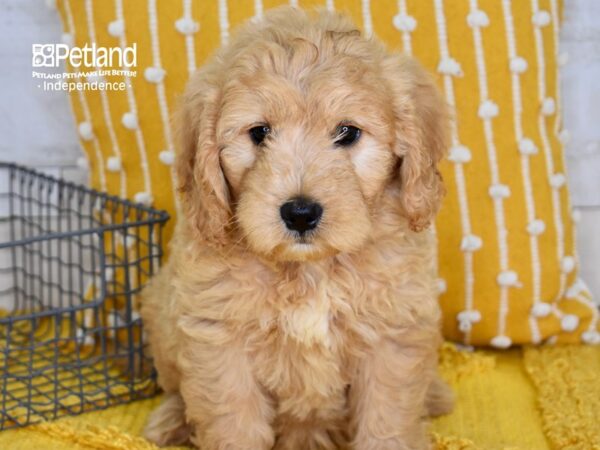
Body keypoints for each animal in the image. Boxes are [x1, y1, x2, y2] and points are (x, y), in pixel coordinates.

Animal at [141, 7, 450, 450]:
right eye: (259, 133)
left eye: (347, 132)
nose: (300, 213)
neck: (310, 270)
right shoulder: (218, 340)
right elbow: (233, 421)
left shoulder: (392, 335)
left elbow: (386, 418)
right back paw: (171, 419)